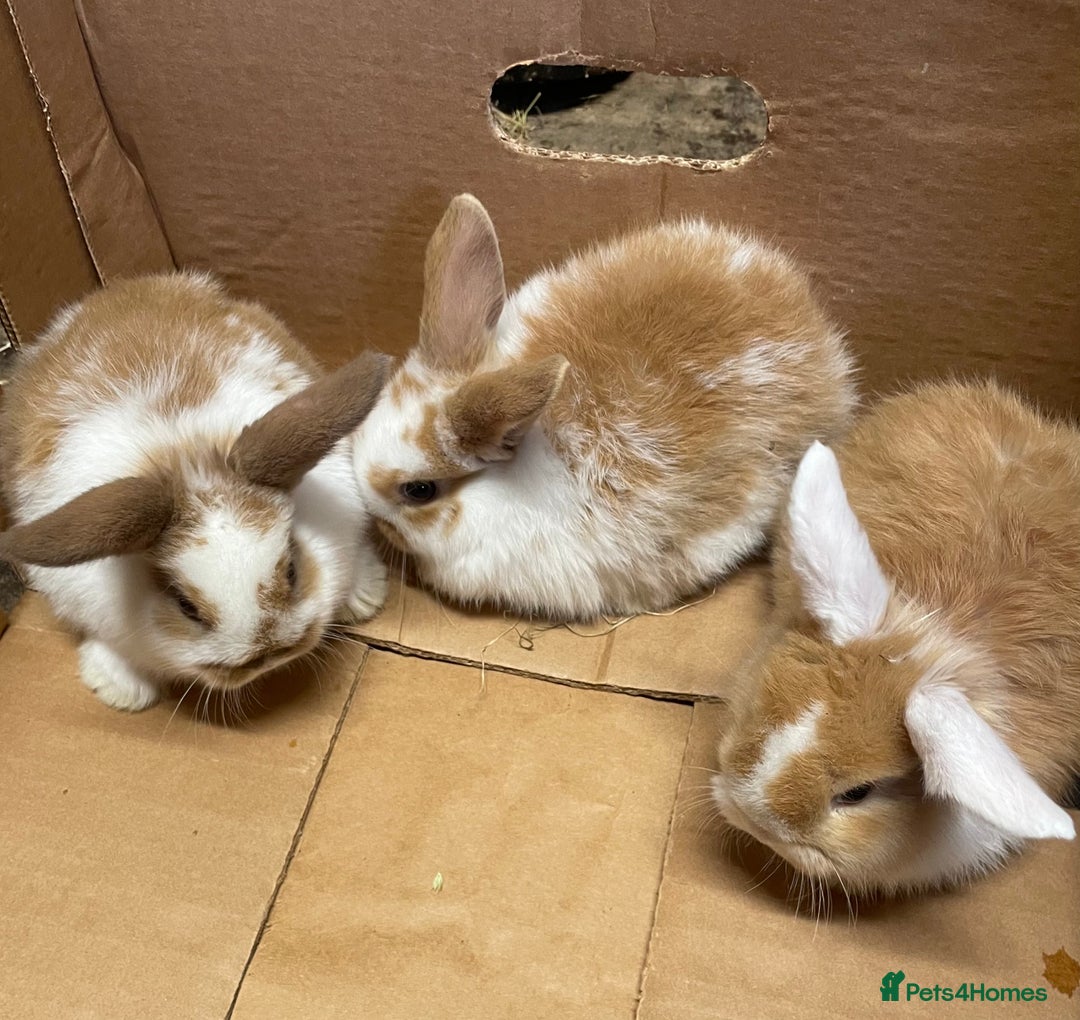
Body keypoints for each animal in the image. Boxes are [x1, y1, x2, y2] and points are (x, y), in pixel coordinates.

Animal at [0, 272, 390, 711]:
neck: (187, 460)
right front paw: (119, 691)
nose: (270, 654)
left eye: (292, 570)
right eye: (185, 606)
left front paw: (366, 595)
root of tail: (120, 289)